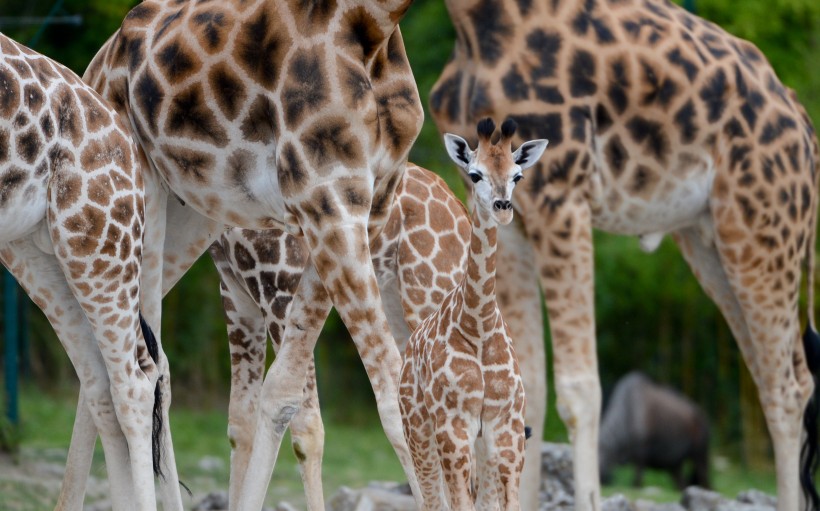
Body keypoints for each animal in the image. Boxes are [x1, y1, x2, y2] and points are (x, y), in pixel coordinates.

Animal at [81, 0, 426, 508]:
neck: (377, 26)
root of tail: (96, 65)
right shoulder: (327, 198)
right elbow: (394, 398)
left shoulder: (359, 207)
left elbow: (281, 393)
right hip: (130, 198)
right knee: (141, 367)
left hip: (188, 222)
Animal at [398, 118, 544, 510]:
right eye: (475, 174)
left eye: (517, 175)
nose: (502, 206)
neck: (478, 325)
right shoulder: (453, 427)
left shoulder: (507, 430)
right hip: (418, 429)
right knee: (431, 499)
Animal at [430, 1, 820, 511]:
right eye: (474, 174)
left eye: (518, 174)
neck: (473, 23)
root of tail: (805, 127)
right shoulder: (512, 222)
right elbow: (525, 384)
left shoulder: (563, 196)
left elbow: (579, 390)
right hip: (711, 240)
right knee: (784, 377)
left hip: (762, 228)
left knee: (787, 387)